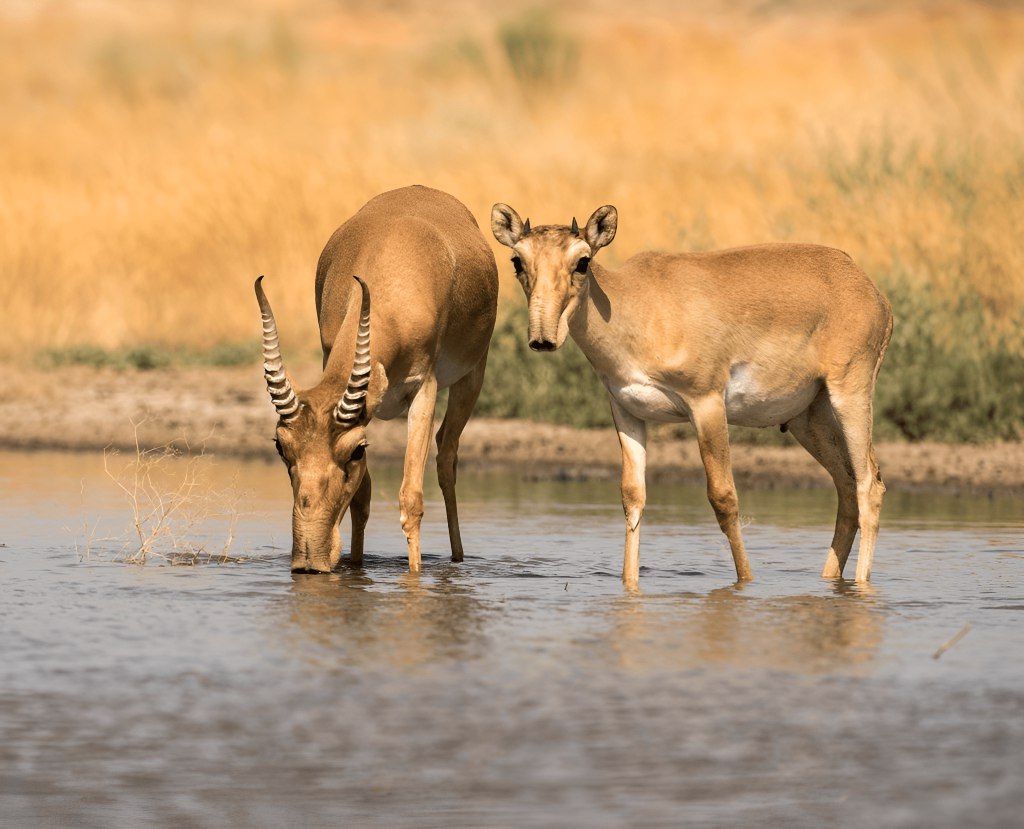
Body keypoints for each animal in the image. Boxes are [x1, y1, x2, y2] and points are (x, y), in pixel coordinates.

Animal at [254, 185, 495, 573]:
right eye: (281, 446)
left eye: (356, 451)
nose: (309, 561)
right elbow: (362, 499)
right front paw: (354, 566)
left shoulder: (423, 390)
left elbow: (411, 498)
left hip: (471, 377)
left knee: (447, 455)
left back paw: (458, 558)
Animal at [491, 203, 892, 585]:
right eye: (518, 260)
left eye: (582, 261)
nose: (543, 339)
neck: (634, 305)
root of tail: (870, 290)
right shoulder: (627, 411)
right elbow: (632, 498)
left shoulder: (706, 404)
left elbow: (723, 497)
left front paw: (746, 582)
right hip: (807, 419)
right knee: (847, 487)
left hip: (850, 395)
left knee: (869, 485)